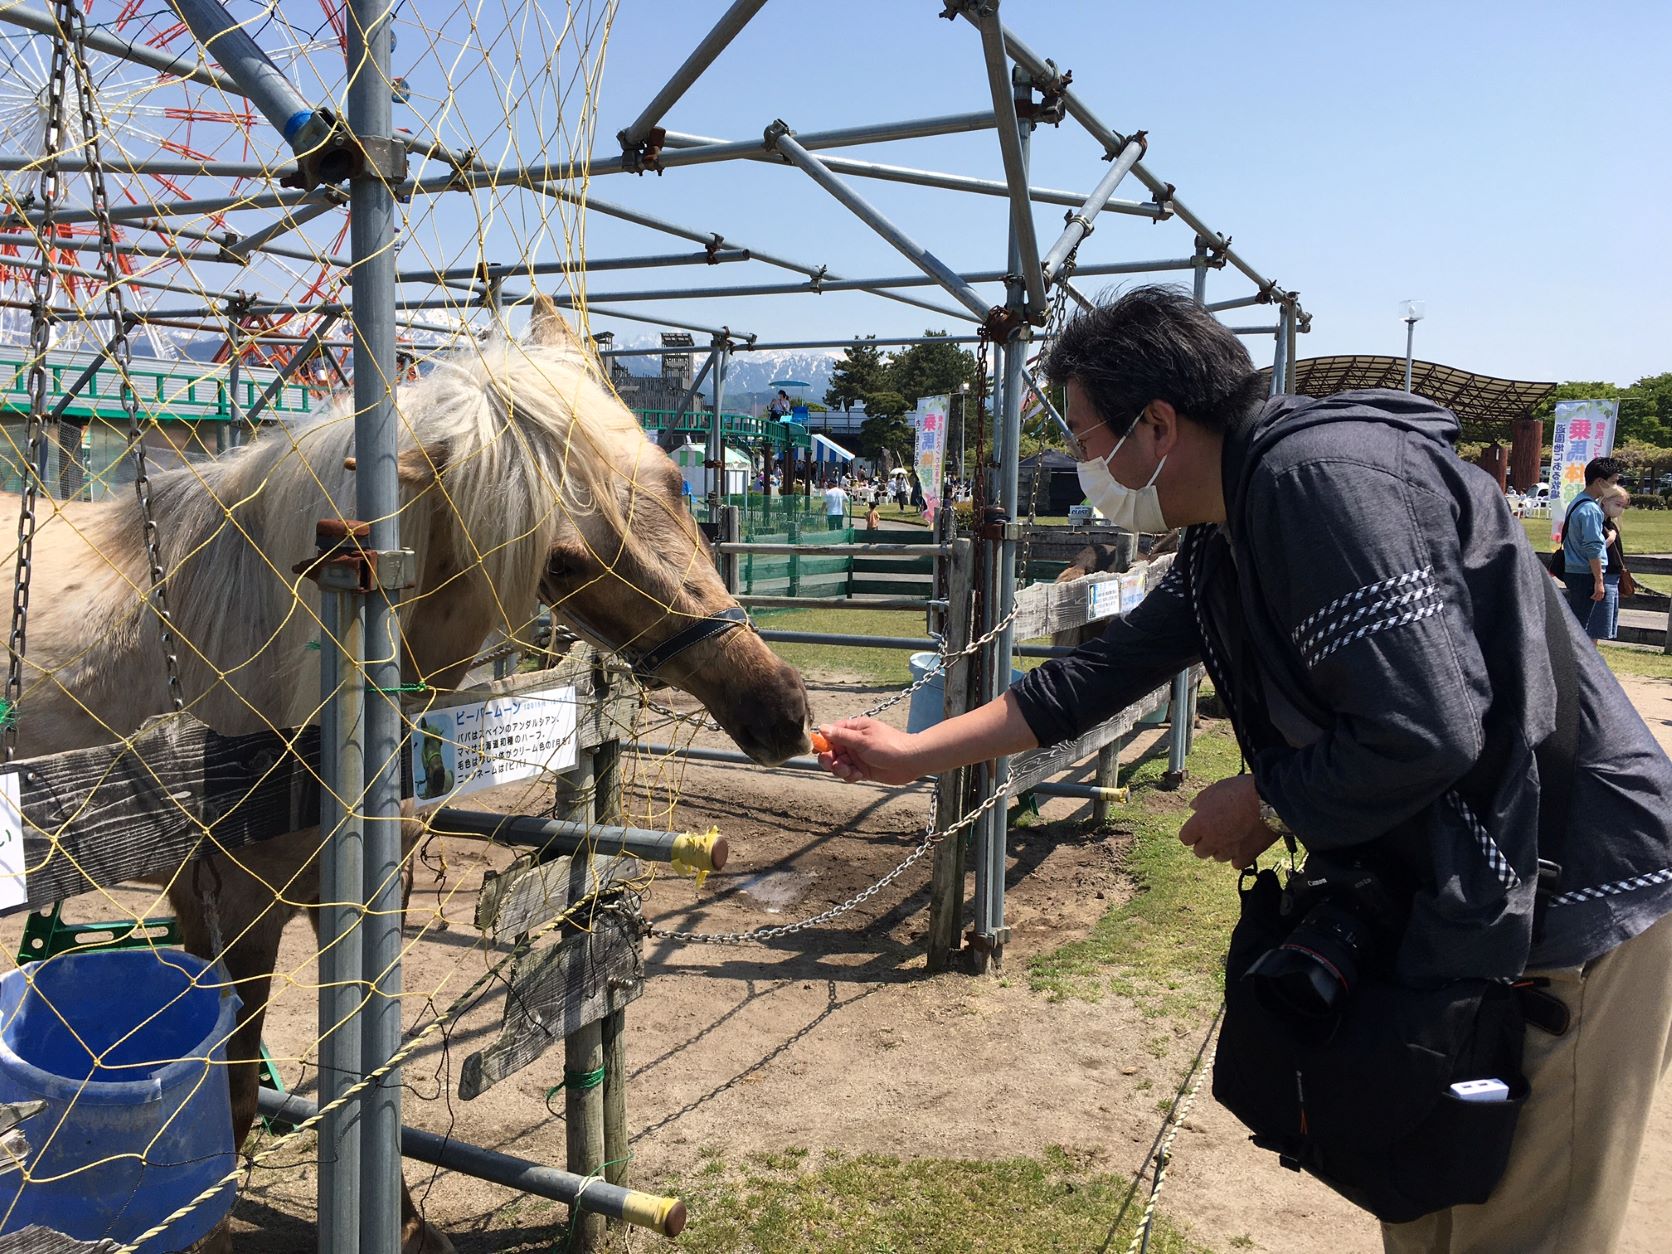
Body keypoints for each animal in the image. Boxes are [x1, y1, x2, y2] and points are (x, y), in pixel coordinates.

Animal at [0, 299, 809, 1250]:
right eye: (562, 562)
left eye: (678, 483)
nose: (780, 709)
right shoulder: (232, 907)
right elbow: (225, 1108)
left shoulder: (321, 899)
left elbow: (357, 1076)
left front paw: (410, 1224)